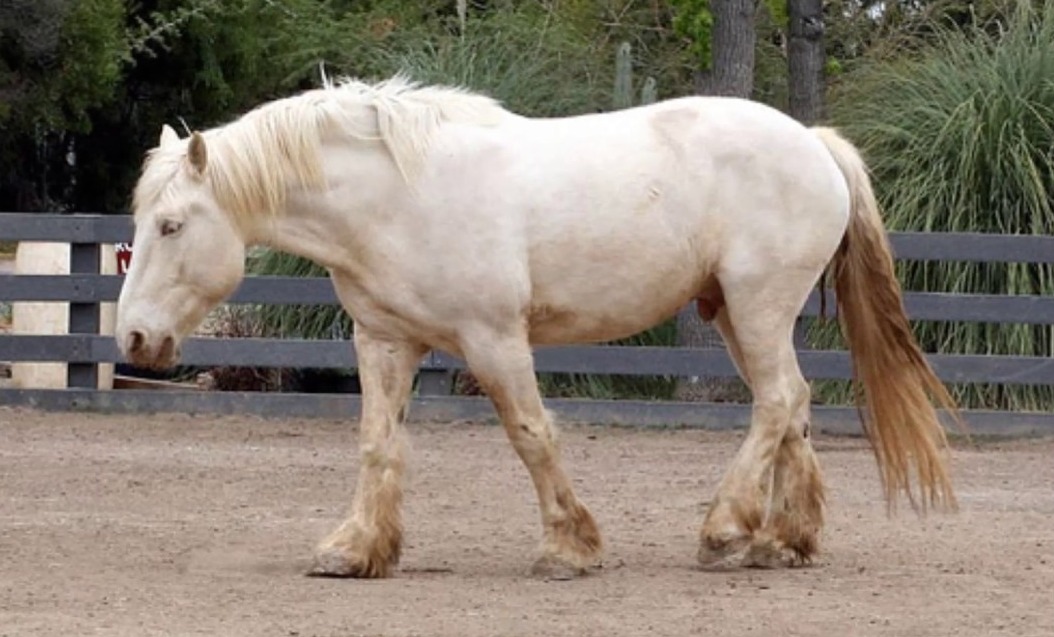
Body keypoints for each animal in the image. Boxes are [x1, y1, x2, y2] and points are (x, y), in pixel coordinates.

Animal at [115, 73, 965, 577]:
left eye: (170, 224)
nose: (133, 339)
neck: (398, 195)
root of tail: (813, 144)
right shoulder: (385, 342)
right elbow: (377, 444)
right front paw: (354, 549)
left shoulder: (493, 339)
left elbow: (531, 433)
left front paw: (568, 544)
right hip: (736, 312)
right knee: (790, 408)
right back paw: (782, 538)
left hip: (757, 307)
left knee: (779, 402)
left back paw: (725, 530)